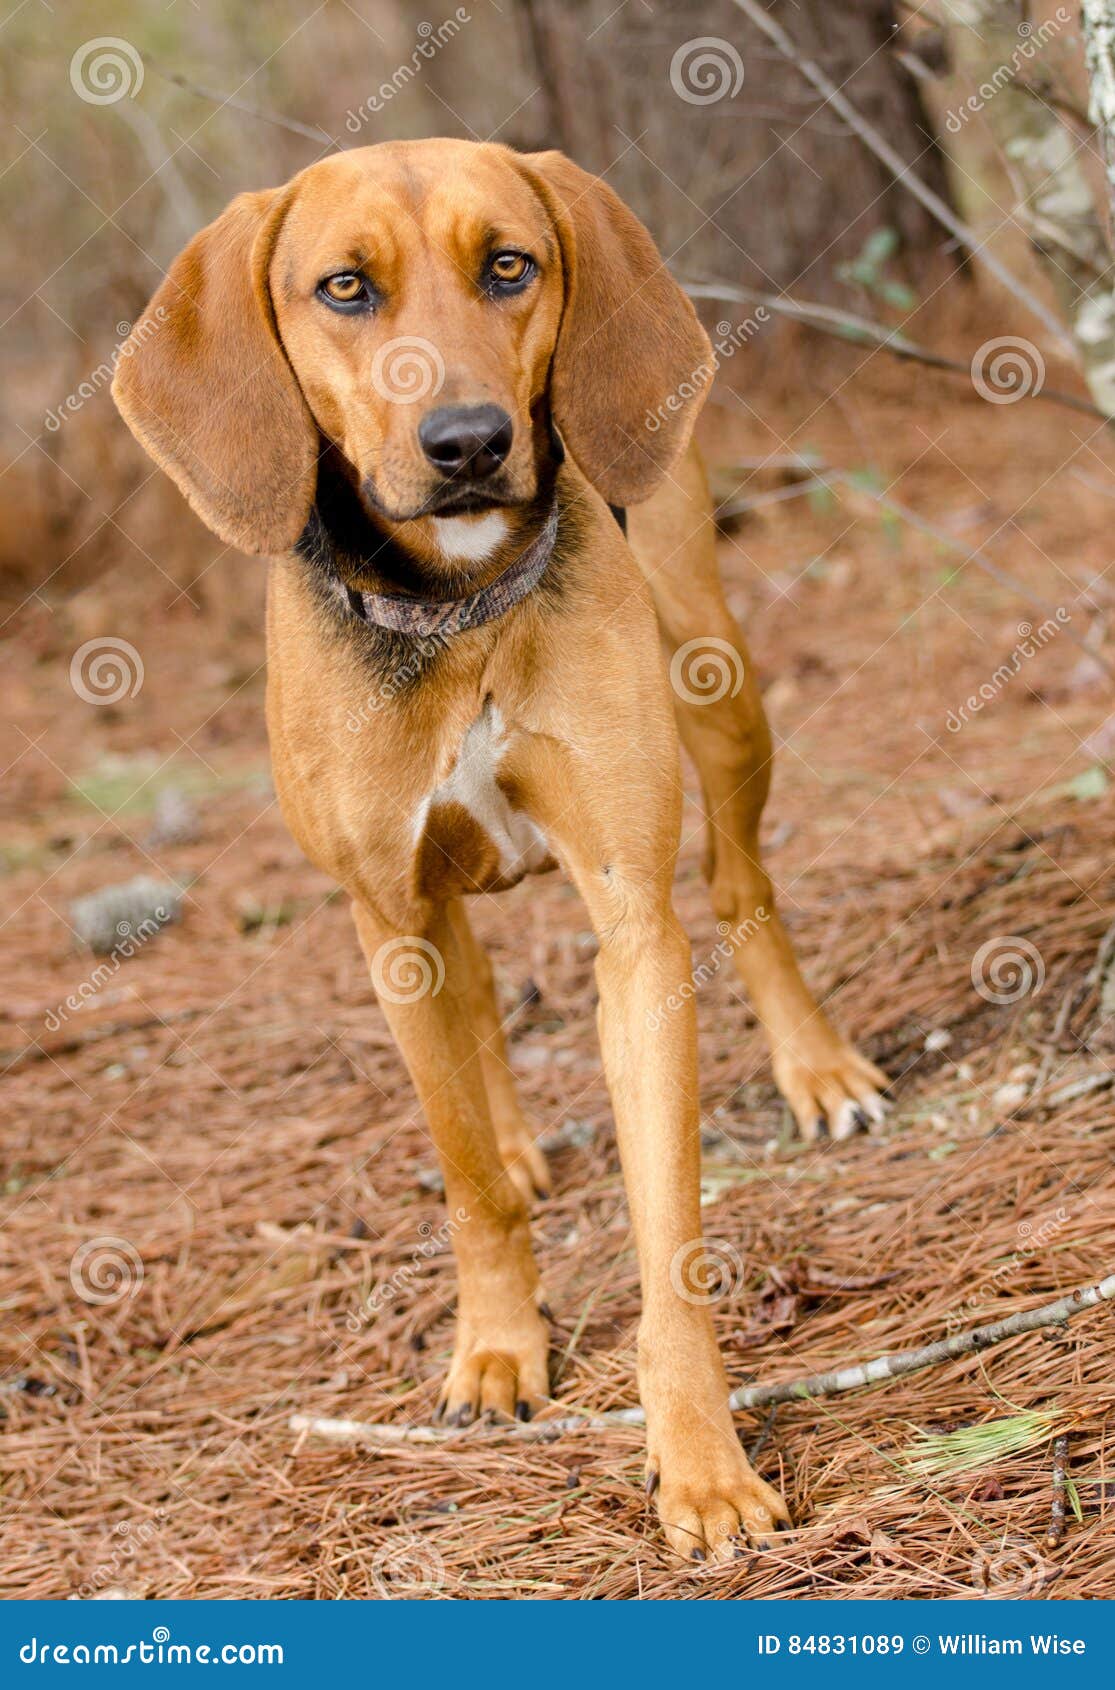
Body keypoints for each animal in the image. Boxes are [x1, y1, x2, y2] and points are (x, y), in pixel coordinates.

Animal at [110, 138, 878, 1561]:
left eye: (509, 265)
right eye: (344, 287)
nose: (467, 442)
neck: (458, 602)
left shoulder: (633, 927)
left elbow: (666, 1232)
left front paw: (699, 1459)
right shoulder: (389, 922)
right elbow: (468, 1176)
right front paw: (497, 1347)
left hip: (719, 685)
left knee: (741, 884)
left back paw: (814, 1065)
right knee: (473, 1020)